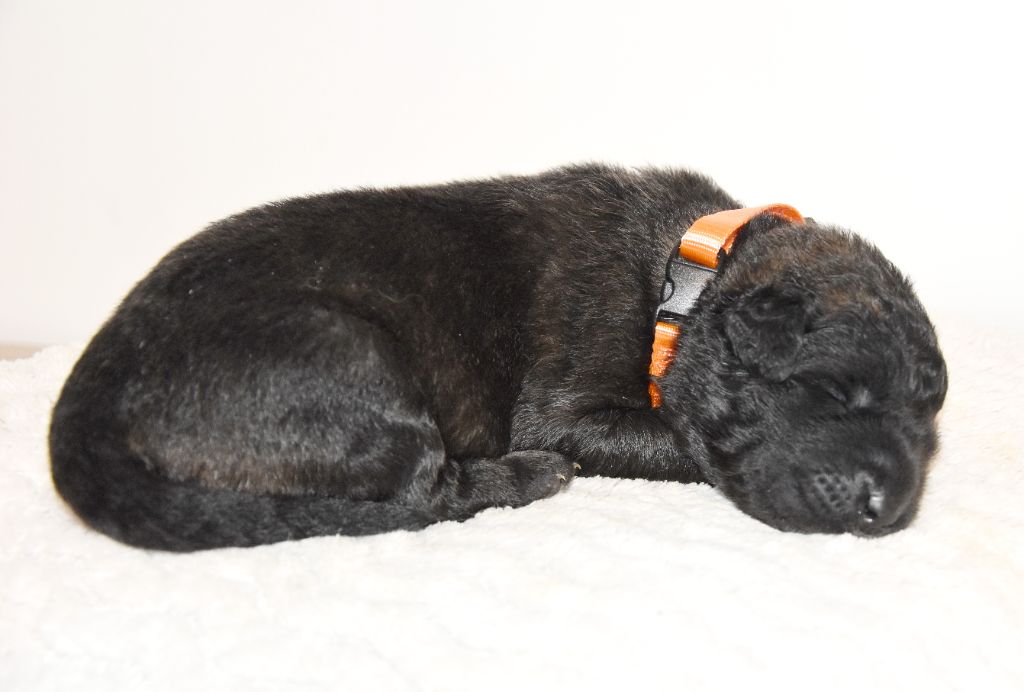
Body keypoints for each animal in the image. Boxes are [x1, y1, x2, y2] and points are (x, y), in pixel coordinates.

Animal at [49, 164, 947, 551]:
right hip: (352, 360)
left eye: (929, 428)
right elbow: (677, 440)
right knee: (422, 492)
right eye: (833, 390)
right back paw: (528, 476)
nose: (889, 509)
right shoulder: (563, 407)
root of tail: (86, 404)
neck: (689, 274)